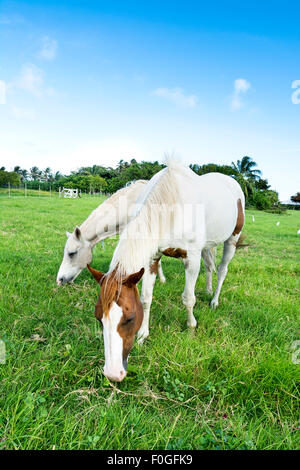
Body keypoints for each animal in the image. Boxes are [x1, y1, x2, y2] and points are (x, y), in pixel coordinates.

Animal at [88, 162, 245, 382]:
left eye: (129, 318)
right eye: (98, 318)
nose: (113, 374)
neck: (171, 205)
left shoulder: (191, 258)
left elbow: (188, 298)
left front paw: (191, 327)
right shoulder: (152, 258)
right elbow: (146, 298)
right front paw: (143, 334)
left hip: (232, 238)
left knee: (222, 270)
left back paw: (214, 300)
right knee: (209, 266)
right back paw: (208, 290)